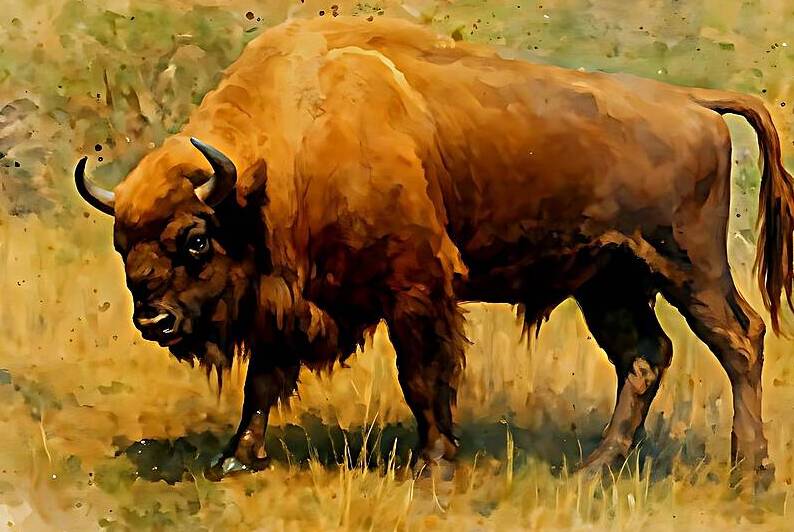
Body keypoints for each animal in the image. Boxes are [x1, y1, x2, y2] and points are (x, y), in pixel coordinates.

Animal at [75, 17, 793, 484]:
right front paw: (233, 458)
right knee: (644, 358)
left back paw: (749, 469)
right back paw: (594, 467)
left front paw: (434, 464)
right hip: (609, 282)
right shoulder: (288, 302)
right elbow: (263, 382)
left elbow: (422, 376)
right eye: (122, 244)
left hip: (688, 265)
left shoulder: (415, 287)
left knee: (739, 338)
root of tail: (693, 102)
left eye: (195, 239)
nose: (153, 320)